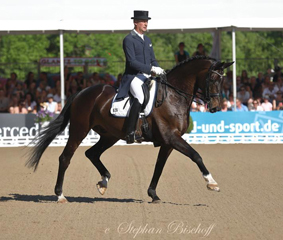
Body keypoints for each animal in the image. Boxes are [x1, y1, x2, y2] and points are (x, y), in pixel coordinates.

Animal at [26, 56, 234, 202]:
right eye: (213, 78)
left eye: (222, 80)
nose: (215, 107)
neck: (173, 96)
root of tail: (82, 92)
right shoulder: (172, 137)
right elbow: (196, 155)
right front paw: (212, 183)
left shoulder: (168, 142)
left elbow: (159, 167)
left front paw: (153, 194)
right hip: (79, 130)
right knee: (65, 158)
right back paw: (60, 195)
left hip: (109, 136)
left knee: (92, 153)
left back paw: (104, 182)